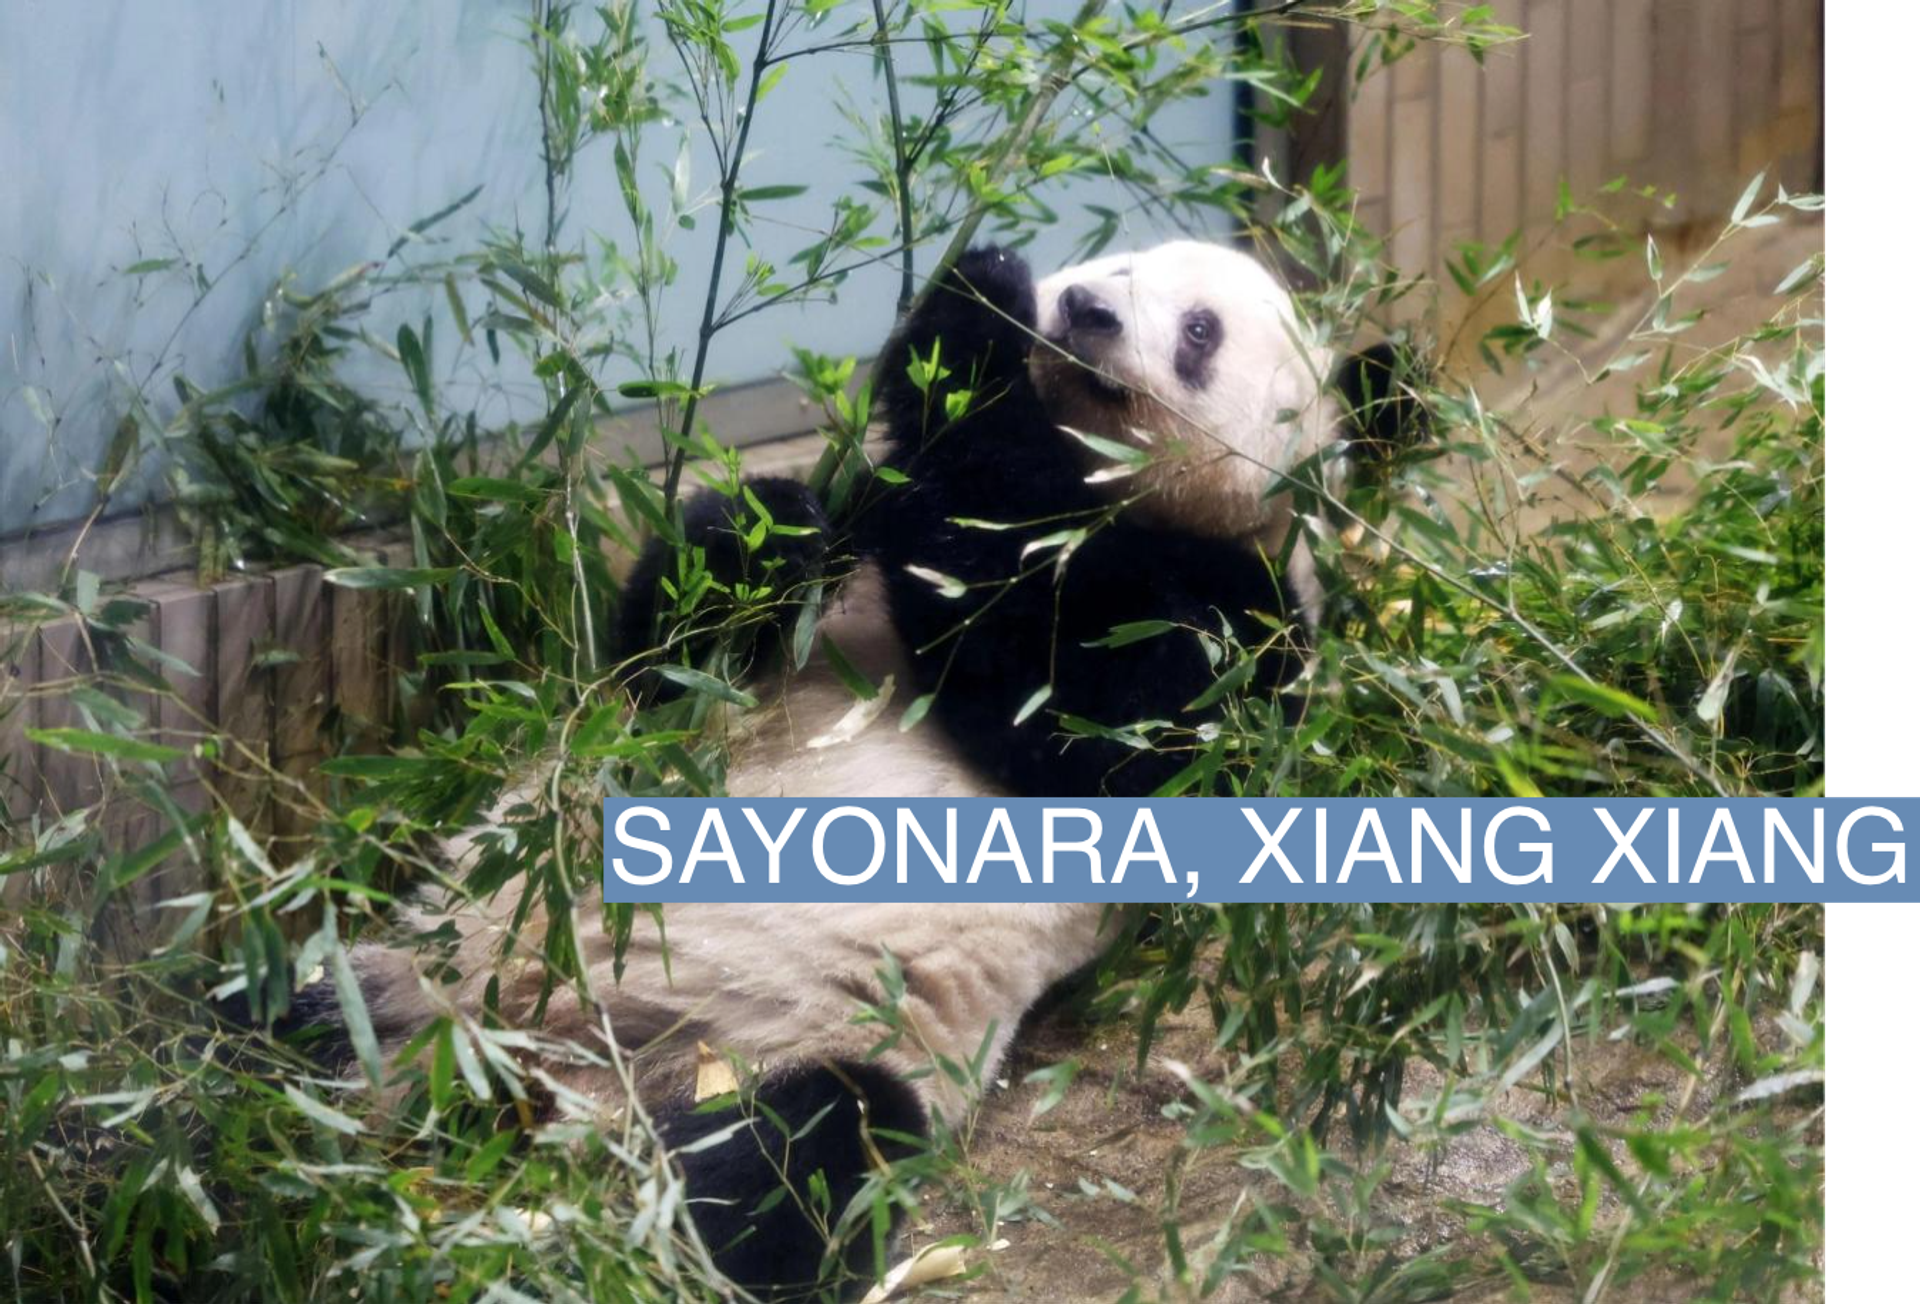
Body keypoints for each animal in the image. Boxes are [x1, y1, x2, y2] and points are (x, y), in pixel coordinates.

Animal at [314, 240, 1420, 1298]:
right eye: (1112, 266)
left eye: (1199, 331)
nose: (1083, 312)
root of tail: (522, 1083)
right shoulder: (847, 540)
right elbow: (667, 652)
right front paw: (780, 518)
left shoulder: (1243, 635)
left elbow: (1082, 709)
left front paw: (973, 328)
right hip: (428, 954)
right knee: (298, 1011)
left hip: (779, 1048)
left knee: (789, 1161)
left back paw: (593, 1249)